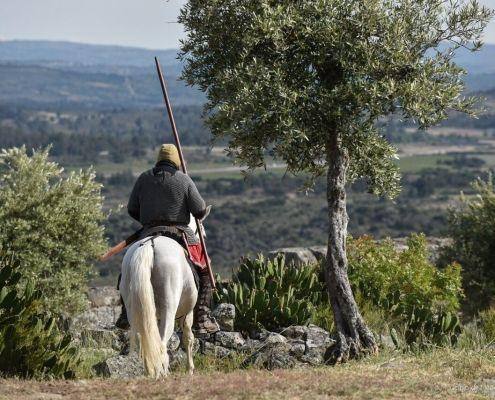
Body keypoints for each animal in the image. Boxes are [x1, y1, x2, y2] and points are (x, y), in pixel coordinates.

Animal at [119, 217, 202, 376]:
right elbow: (188, 338)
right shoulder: (188, 313)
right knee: (162, 343)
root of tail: (149, 246)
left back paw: (150, 371)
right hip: (169, 308)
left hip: (135, 309)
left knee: (144, 340)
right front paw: (190, 369)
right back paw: (162, 373)